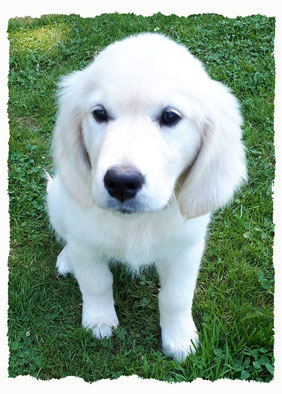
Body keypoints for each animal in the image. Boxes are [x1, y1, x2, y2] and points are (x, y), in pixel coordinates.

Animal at [46, 32, 247, 362]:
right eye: (99, 113)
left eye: (170, 116)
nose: (121, 182)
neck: (137, 222)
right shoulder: (86, 243)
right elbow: (96, 282)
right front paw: (99, 321)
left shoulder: (186, 249)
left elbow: (176, 297)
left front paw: (179, 338)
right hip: (57, 198)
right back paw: (66, 259)